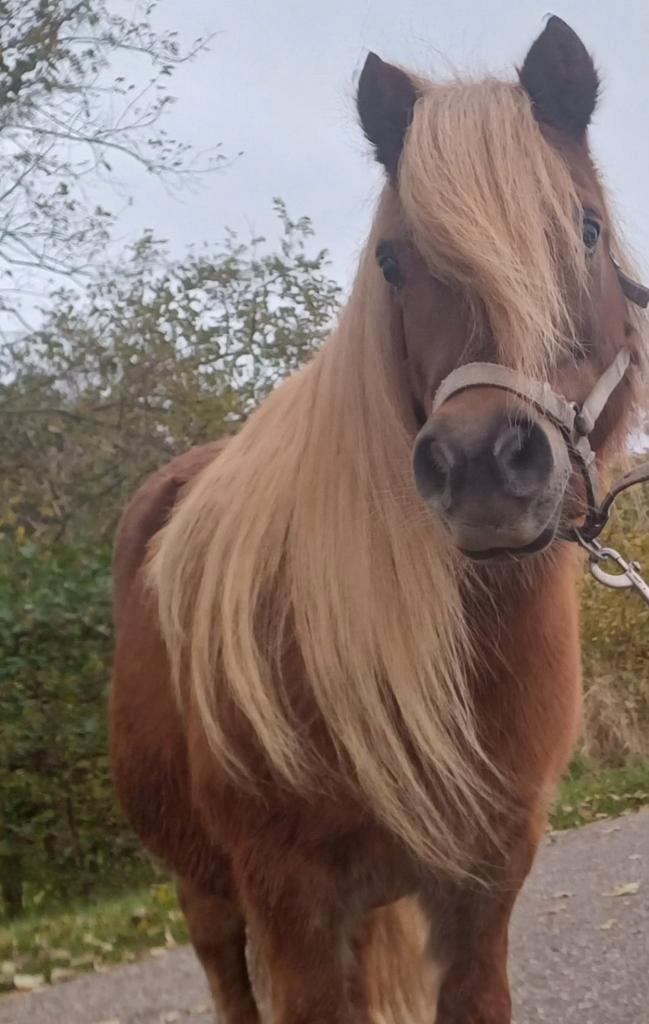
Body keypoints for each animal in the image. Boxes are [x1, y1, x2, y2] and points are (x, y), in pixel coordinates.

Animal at [111, 17, 647, 1024]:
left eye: (586, 229)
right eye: (393, 262)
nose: (480, 468)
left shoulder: (481, 892)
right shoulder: (290, 900)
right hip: (206, 896)